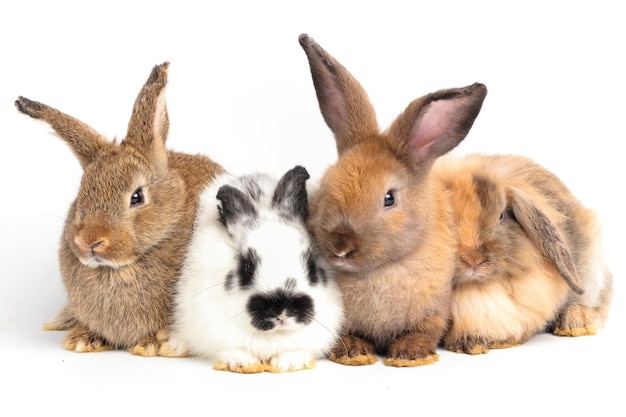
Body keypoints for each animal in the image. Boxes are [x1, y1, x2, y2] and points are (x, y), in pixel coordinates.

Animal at [158, 164, 344, 372]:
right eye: (247, 267)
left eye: (311, 266)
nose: (282, 312)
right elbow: (230, 350)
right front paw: (243, 362)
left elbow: (298, 350)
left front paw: (287, 363)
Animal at [298, 32, 488, 366]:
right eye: (327, 184)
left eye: (389, 198)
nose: (340, 246)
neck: (381, 270)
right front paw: (352, 351)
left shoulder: (434, 310)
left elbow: (423, 331)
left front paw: (409, 354)